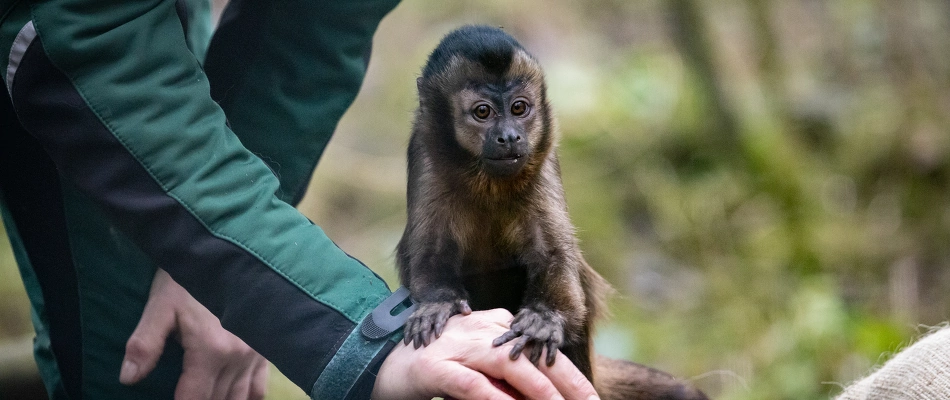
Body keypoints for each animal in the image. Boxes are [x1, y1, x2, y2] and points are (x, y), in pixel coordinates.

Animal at [398, 25, 712, 400]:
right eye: (483, 112)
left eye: (519, 108)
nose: (509, 136)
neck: (485, 182)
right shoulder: (424, 151)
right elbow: (430, 252)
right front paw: (438, 302)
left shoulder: (544, 158)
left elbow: (554, 256)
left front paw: (543, 320)